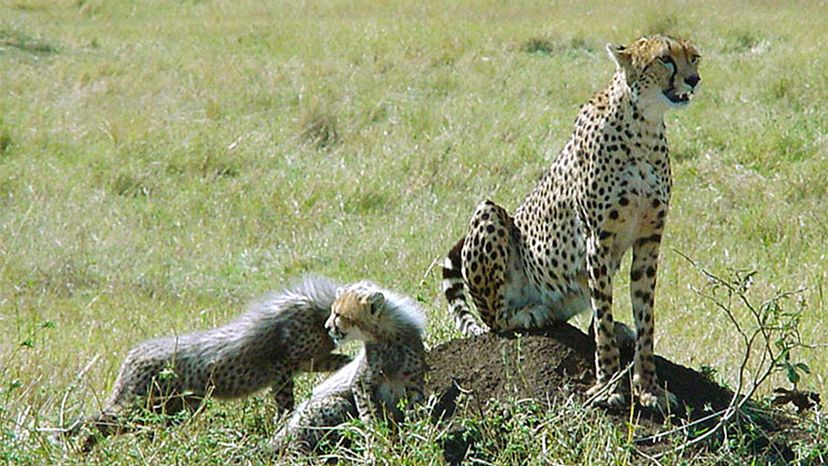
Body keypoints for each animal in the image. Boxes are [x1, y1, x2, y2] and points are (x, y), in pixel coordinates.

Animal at [272, 280, 426, 456]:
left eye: (338, 314)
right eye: (332, 311)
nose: (326, 327)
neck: (387, 337)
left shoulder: (413, 381)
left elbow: (417, 411)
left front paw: (418, 437)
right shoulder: (361, 384)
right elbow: (369, 414)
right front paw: (377, 443)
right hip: (335, 406)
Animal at [444, 34, 700, 410]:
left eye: (693, 57)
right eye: (665, 59)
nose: (694, 79)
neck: (644, 124)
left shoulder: (649, 240)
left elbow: (645, 317)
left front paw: (649, 388)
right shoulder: (598, 239)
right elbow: (603, 319)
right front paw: (608, 387)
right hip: (489, 212)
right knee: (494, 321)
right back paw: (529, 313)